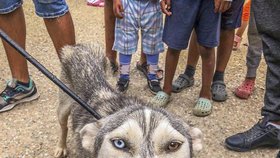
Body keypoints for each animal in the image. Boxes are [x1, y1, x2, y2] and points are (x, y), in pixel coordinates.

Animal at [54, 43, 201, 158]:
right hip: (63, 108)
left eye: (173, 145)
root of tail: (78, 47)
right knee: (63, 127)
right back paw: (61, 147)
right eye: (119, 143)